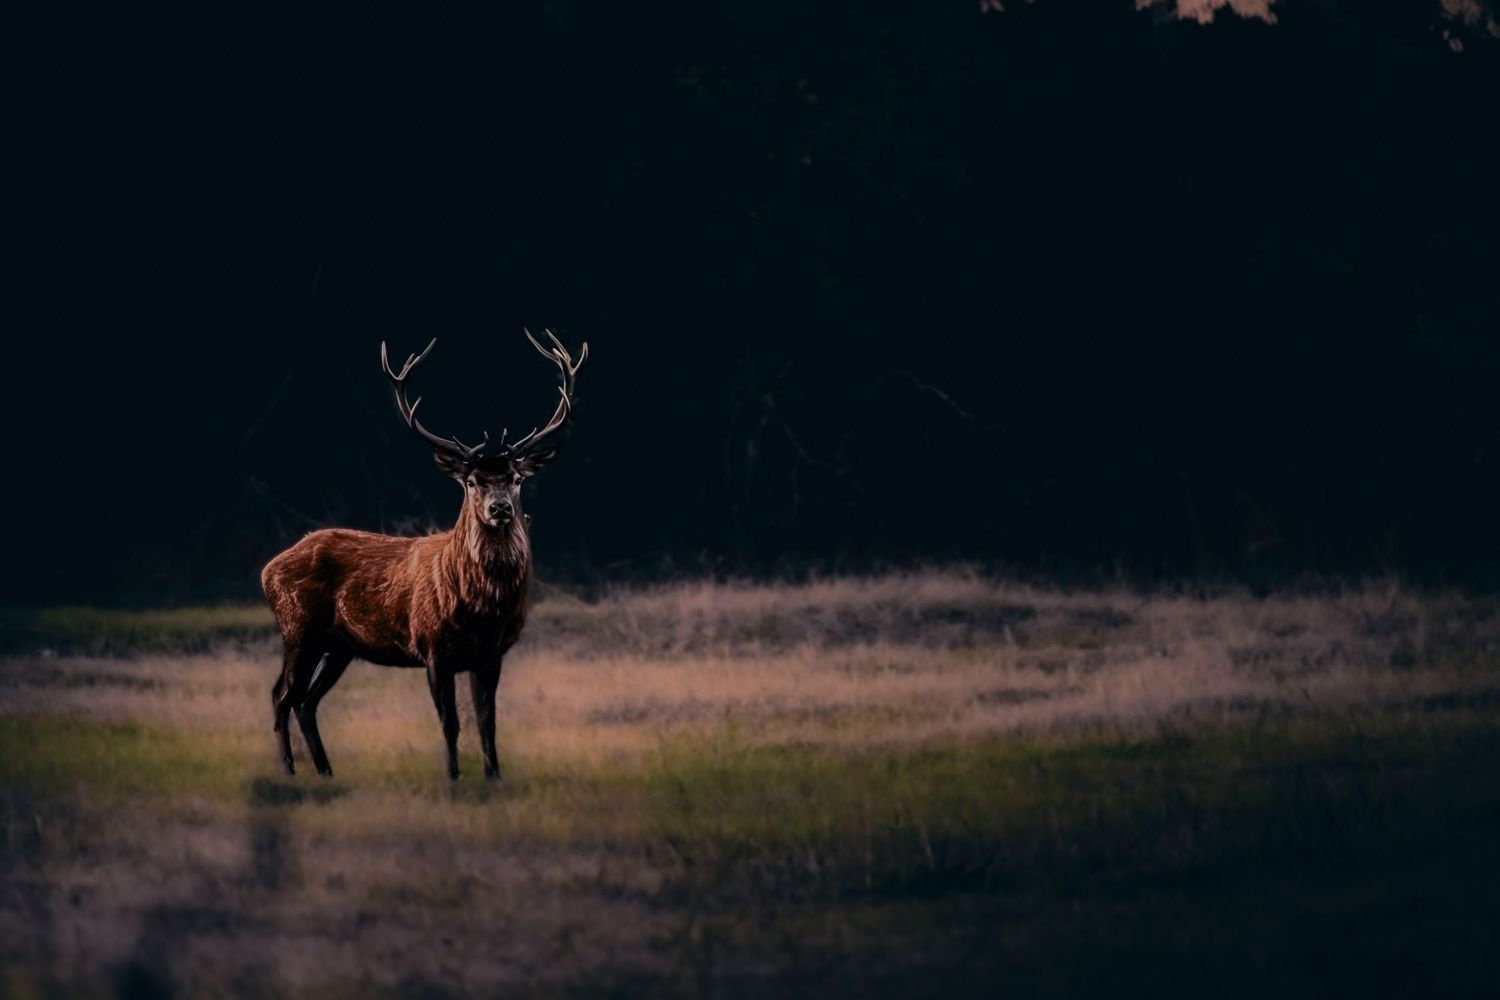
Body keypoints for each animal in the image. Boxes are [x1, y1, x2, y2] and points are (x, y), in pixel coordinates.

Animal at [260, 331, 586, 781]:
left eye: (517, 478)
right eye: (471, 481)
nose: (500, 508)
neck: (482, 608)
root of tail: (267, 568)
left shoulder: (491, 654)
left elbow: (487, 721)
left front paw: (494, 777)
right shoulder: (432, 645)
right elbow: (450, 721)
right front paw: (453, 778)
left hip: (339, 645)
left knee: (307, 701)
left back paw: (326, 771)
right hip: (298, 629)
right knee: (281, 695)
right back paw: (290, 772)